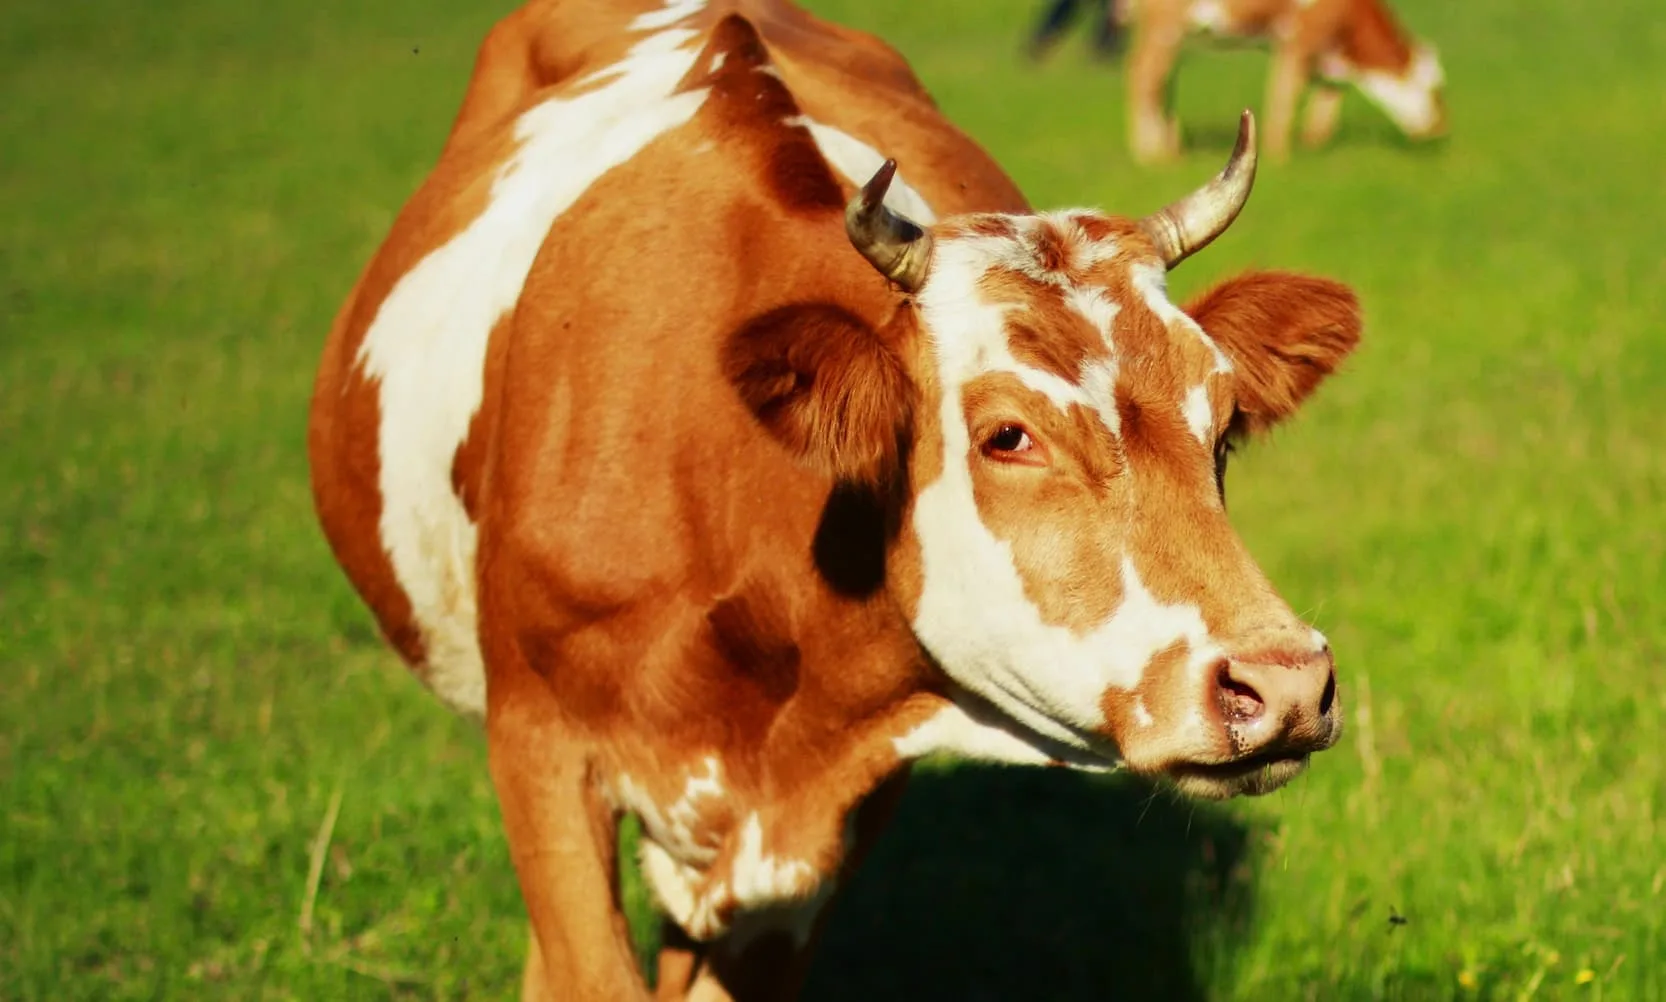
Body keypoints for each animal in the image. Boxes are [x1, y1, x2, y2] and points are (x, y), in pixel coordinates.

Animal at [1117, 0, 1447, 162]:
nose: (1441, 129)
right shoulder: (1301, 38)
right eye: (1435, 89)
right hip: (1163, 25)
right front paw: (1279, 155)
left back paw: (1171, 150)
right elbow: (1285, 95)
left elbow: (1327, 101)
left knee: (1160, 83)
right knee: (1142, 76)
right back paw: (1150, 155)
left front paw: (1313, 145)